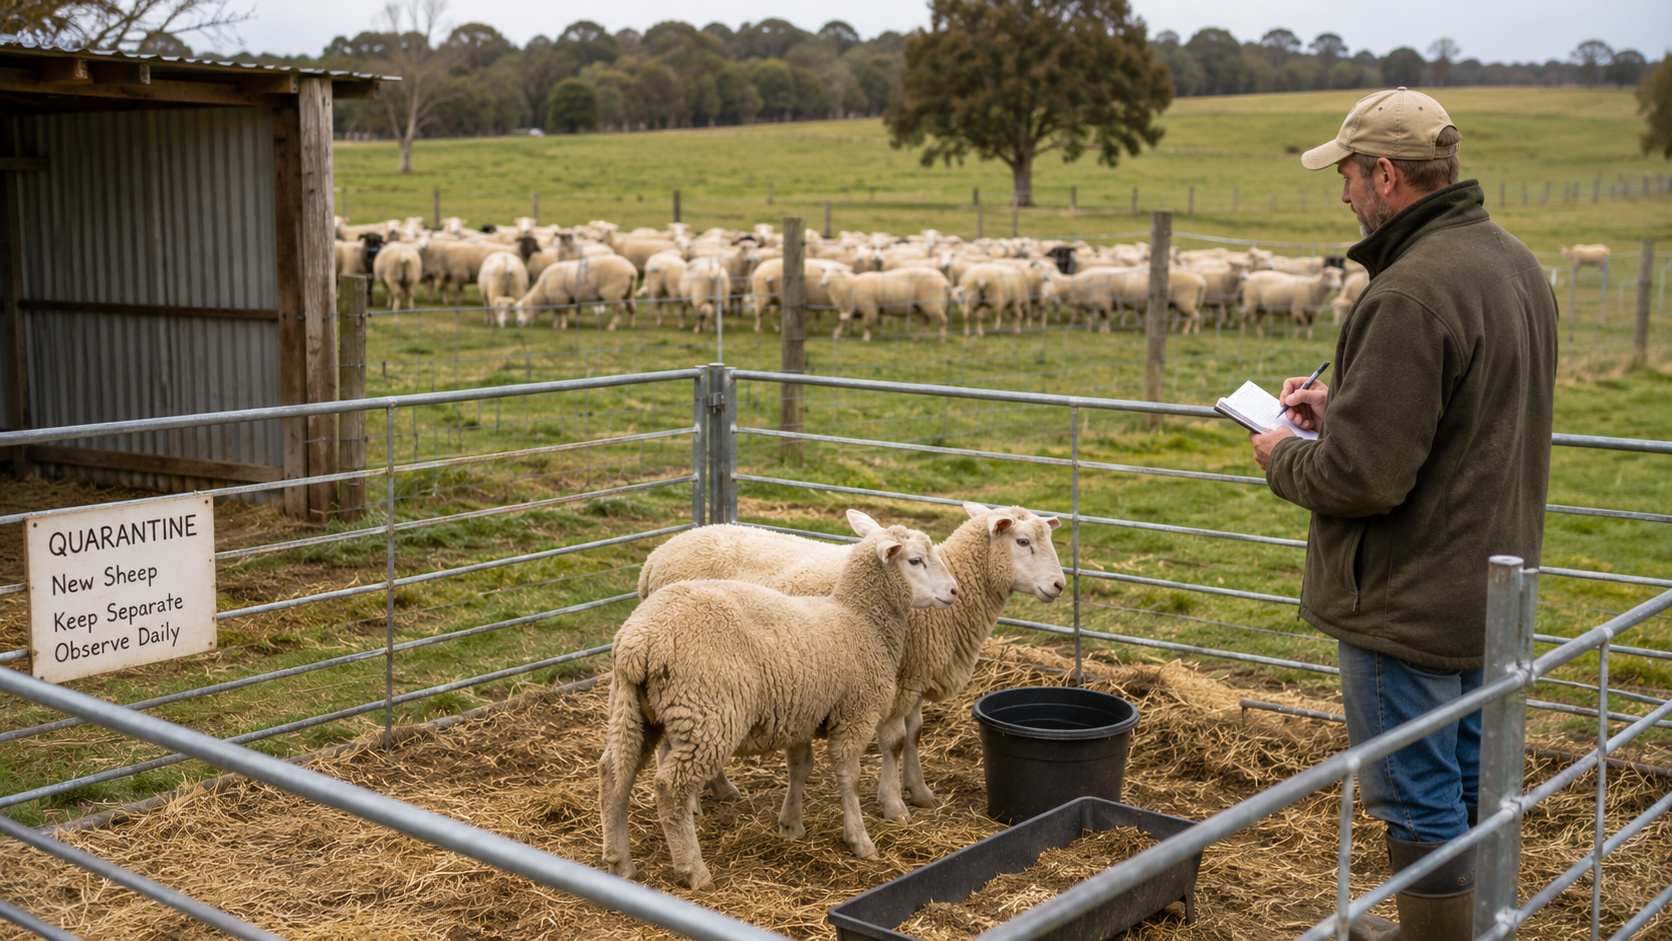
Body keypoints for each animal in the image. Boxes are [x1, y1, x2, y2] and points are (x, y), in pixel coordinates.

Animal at [599, 512, 959, 890]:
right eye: (915, 560)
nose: (954, 591)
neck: (858, 620)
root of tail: (639, 642)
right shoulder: (855, 713)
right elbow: (849, 776)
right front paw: (860, 840)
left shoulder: (801, 713)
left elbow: (800, 767)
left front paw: (791, 825)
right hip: (706, 715)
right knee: (670, 787)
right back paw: (694, 870)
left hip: (633, 709)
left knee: (614, 774)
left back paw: (620, 862)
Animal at [639, 503, 1065, 823]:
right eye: (1023, 541)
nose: (1060, 585)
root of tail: (656, 557)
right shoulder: (896, 680)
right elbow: (894, 742)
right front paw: (893, 804)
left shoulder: (914, 676)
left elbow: (915, 734)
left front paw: (920, 791)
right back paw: (695, 804)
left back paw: (722, 789)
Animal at [822, 266, 950, 341]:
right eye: (824, 272)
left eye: (833, 272)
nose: (822, 284)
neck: (850, 286)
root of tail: (945, 281)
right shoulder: (874, 308)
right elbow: (878, 322)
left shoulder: (869, 307)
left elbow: (867, 323)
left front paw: (866, 338)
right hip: (921, 306)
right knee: (925, 323)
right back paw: (917, 338)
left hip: (932, 303)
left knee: (943, 320)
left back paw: (942, 339)